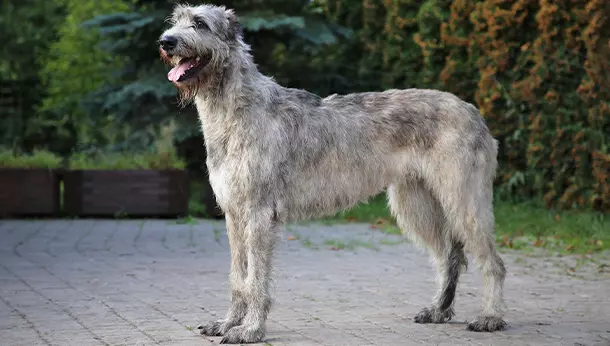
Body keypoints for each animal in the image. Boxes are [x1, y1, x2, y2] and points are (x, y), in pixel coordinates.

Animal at [159, 2, 506, 344]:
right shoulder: (233, 214)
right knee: (448, 256)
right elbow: (237, 276)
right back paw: (438, 310)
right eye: (175, 20)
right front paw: (228, 322)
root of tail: (474, 111)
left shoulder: (259, 214)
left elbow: (255, 277)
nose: (166, 42)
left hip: (464, 201)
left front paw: (250, 329)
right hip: (416, 204)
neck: (235, 110)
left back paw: (490, 317)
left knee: (493, 262)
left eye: (200, 23)